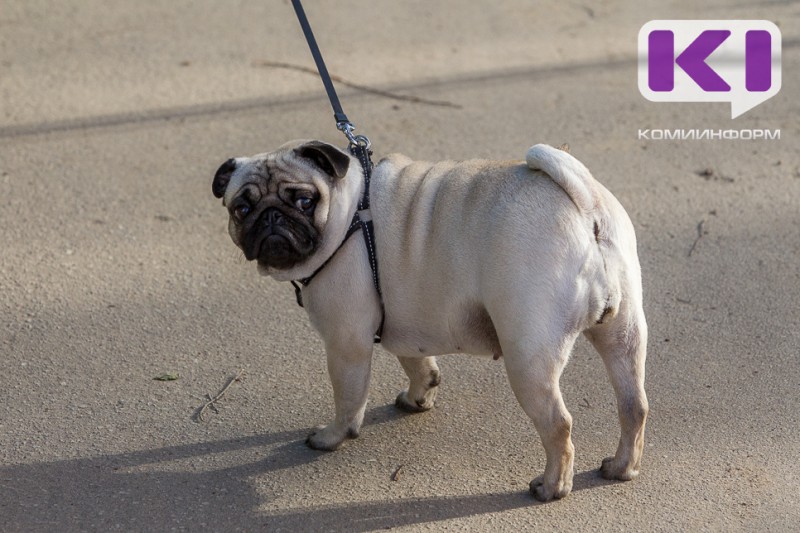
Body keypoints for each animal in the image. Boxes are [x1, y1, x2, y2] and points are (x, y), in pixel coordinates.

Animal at [214, 140, 648, 498]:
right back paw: (621, 468)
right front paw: (418, 397)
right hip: (624, 333)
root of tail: (586, 205)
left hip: (528, 358)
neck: (349, 212)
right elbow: (418, 363)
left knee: (559, 425)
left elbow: (348, 400)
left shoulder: (345, 343)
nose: (270, 218)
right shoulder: (404, 319)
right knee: (634, 405)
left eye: (304, 200)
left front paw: (332, 437)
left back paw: (552, 487)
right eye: (242, 208)